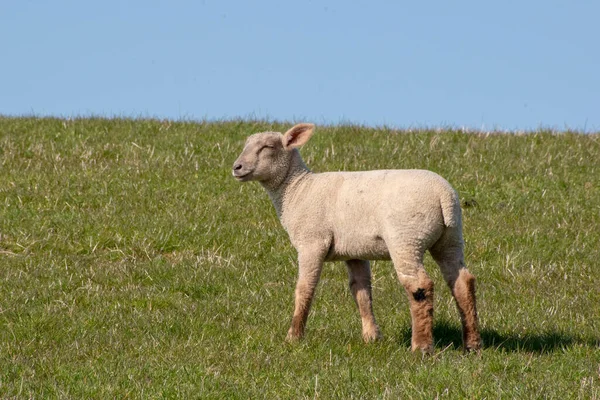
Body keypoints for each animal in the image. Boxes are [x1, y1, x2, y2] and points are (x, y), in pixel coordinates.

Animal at [232, 122, 480, 354]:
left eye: (267, 147)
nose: (236, 167)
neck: (297, 190)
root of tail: (443, 195)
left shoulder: (312, 242)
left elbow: (305, 289)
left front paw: (293, 337)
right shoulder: (354, 252)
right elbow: (361, 291)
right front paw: (371, 337)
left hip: (406, 238)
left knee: (419, 286)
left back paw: (421, 347)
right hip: (450, 238)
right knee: (462, 282)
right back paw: (472, 345)